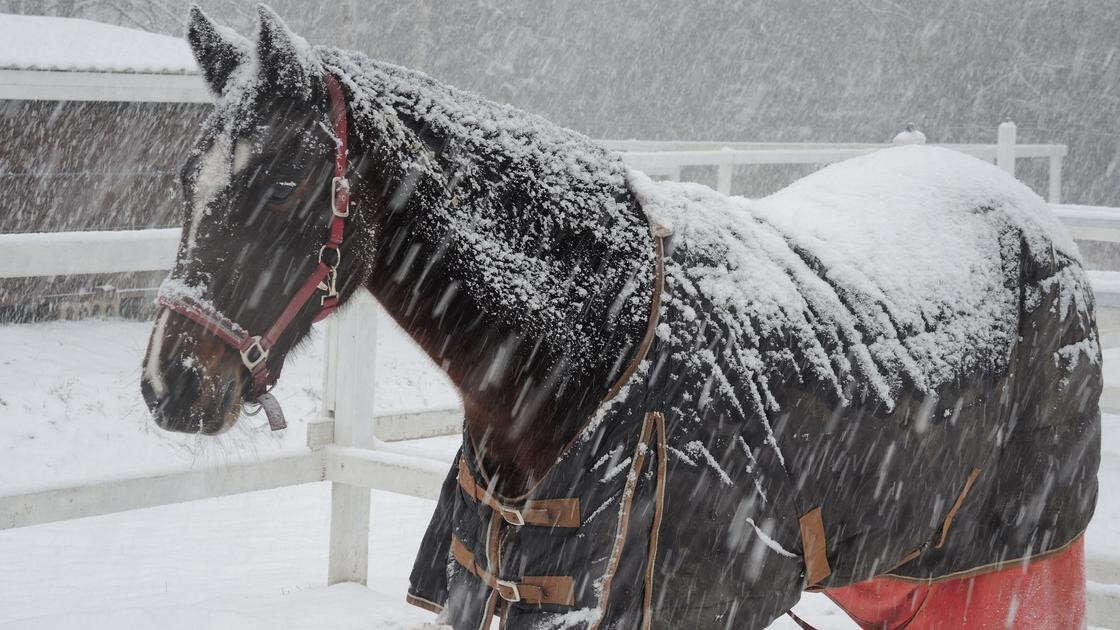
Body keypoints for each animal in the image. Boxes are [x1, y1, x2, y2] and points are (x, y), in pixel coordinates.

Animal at [142, 6, 1102, 627]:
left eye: (281, 182)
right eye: (188, 176)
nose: (168, 384)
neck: (590, 350)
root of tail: (1032, 214)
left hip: (1007, 567)